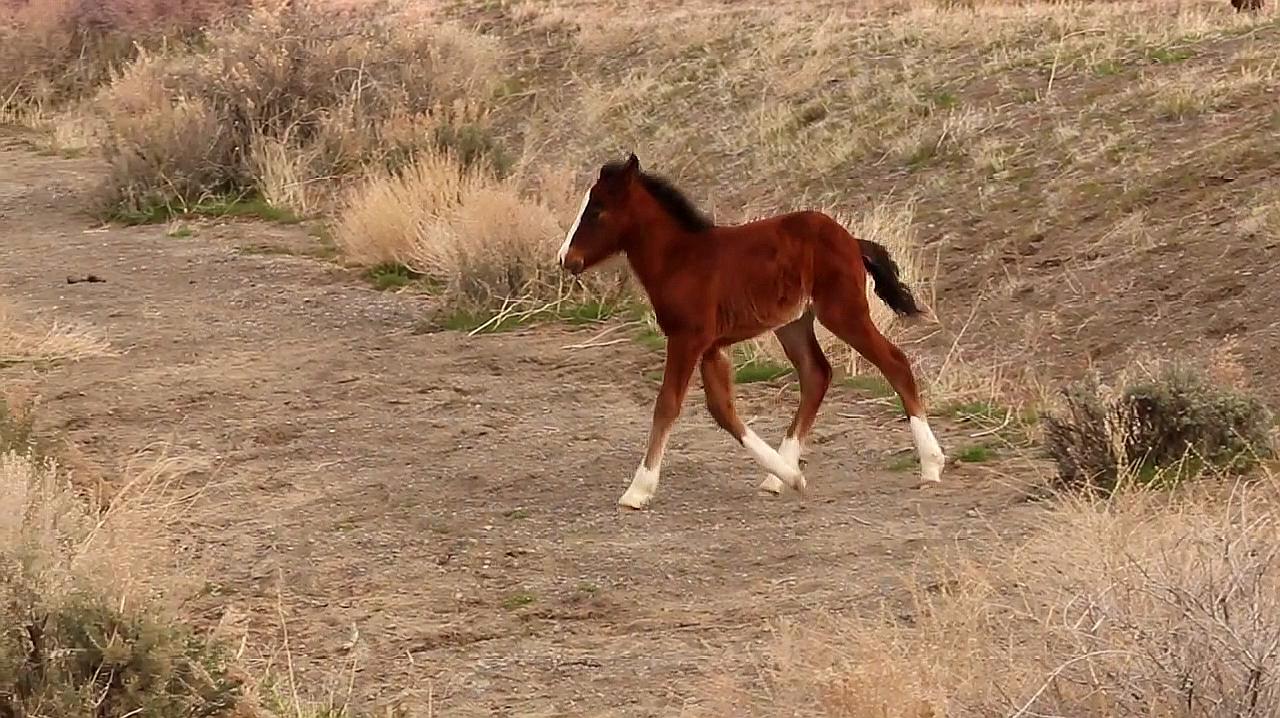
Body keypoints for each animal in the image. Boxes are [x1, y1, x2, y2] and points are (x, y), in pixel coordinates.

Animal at [555, 154, 947, 506]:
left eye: (597, 211)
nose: (564, 259)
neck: (680, 259)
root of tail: (851, 240)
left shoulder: (687, 338)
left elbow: (667, 404)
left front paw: (637, 491)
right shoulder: (710, 346)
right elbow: (722, 410)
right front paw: (793, 477)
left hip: (841, 311)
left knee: (894, 362)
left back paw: (931, 466)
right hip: (793, 323)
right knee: (816, 374)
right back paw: (777, 478)